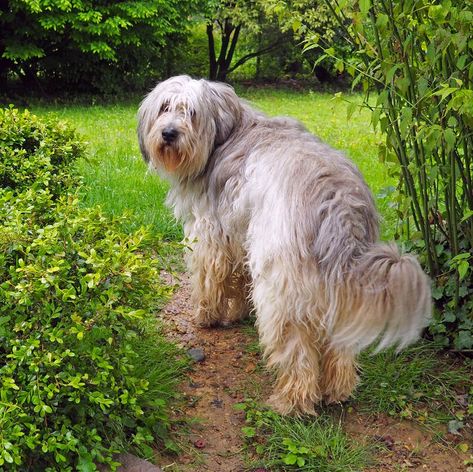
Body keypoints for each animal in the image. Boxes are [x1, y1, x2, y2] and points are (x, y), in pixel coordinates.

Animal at [137, 75, 432, 414]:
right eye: (165, 107)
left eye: (191, 113)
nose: (169, 133)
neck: (224, 136)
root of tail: (338, 200)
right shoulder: (241, 238)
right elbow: (239, 279)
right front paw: (238, 312)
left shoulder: (211, 238)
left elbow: (209, 281)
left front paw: (206, 316)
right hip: (337, 284)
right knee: (339, 347)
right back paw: (339, 390)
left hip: (282, 288)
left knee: (296, 349)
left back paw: (291, 401)